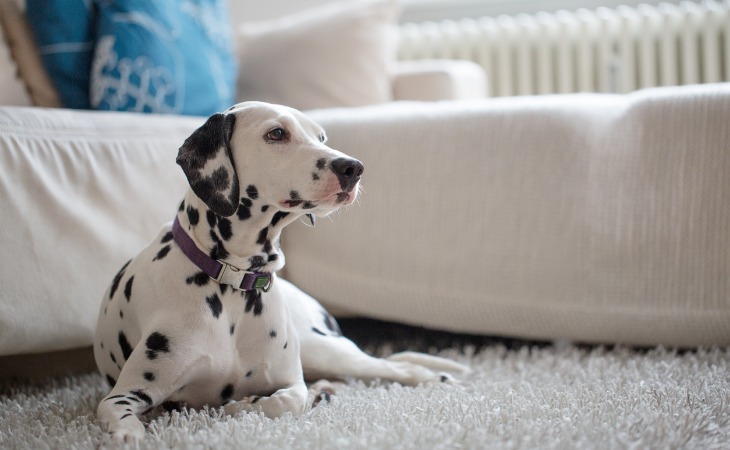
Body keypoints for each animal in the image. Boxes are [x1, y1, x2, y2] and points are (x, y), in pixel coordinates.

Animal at [94, 101, 466, 440]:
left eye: (321, 136)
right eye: (276, 133)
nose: (353, 167)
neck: (233, 283)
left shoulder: (290, 381)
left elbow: (285, 400)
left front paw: (241, 405)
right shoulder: (124, 394)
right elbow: (117, 412)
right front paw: (129, 434)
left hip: (326, 350)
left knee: (393, 365)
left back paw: (435, 378)